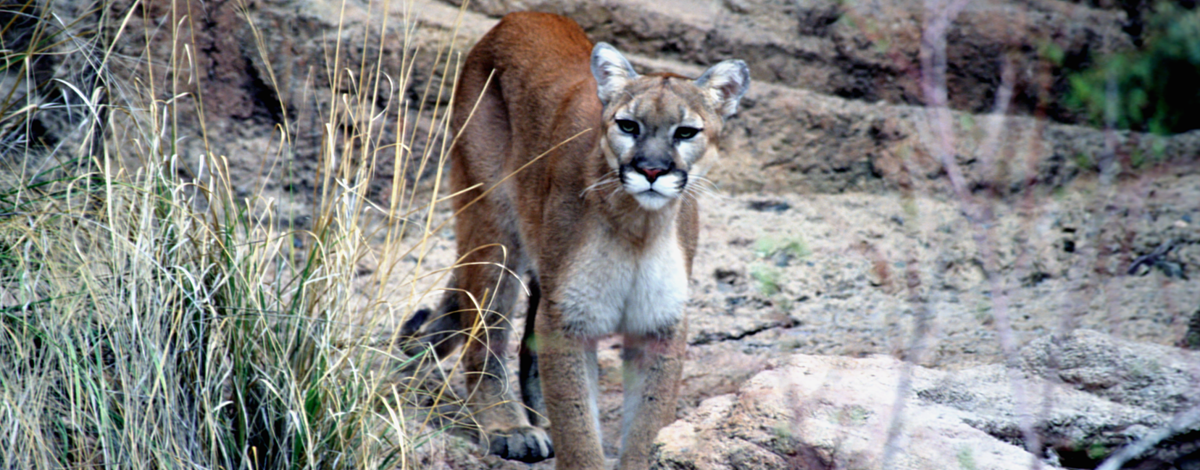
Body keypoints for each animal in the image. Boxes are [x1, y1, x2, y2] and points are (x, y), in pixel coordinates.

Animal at [403, 11, 748, 470]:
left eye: (686, 132)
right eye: (628, 126)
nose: (652, 170)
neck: (639, 228)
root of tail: (520, 16)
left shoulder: (660, 323)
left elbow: (647, 422)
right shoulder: (567, 319)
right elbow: (578, 426)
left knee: (527, 347)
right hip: (493, 226)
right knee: (487, 331)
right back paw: (508, 426)